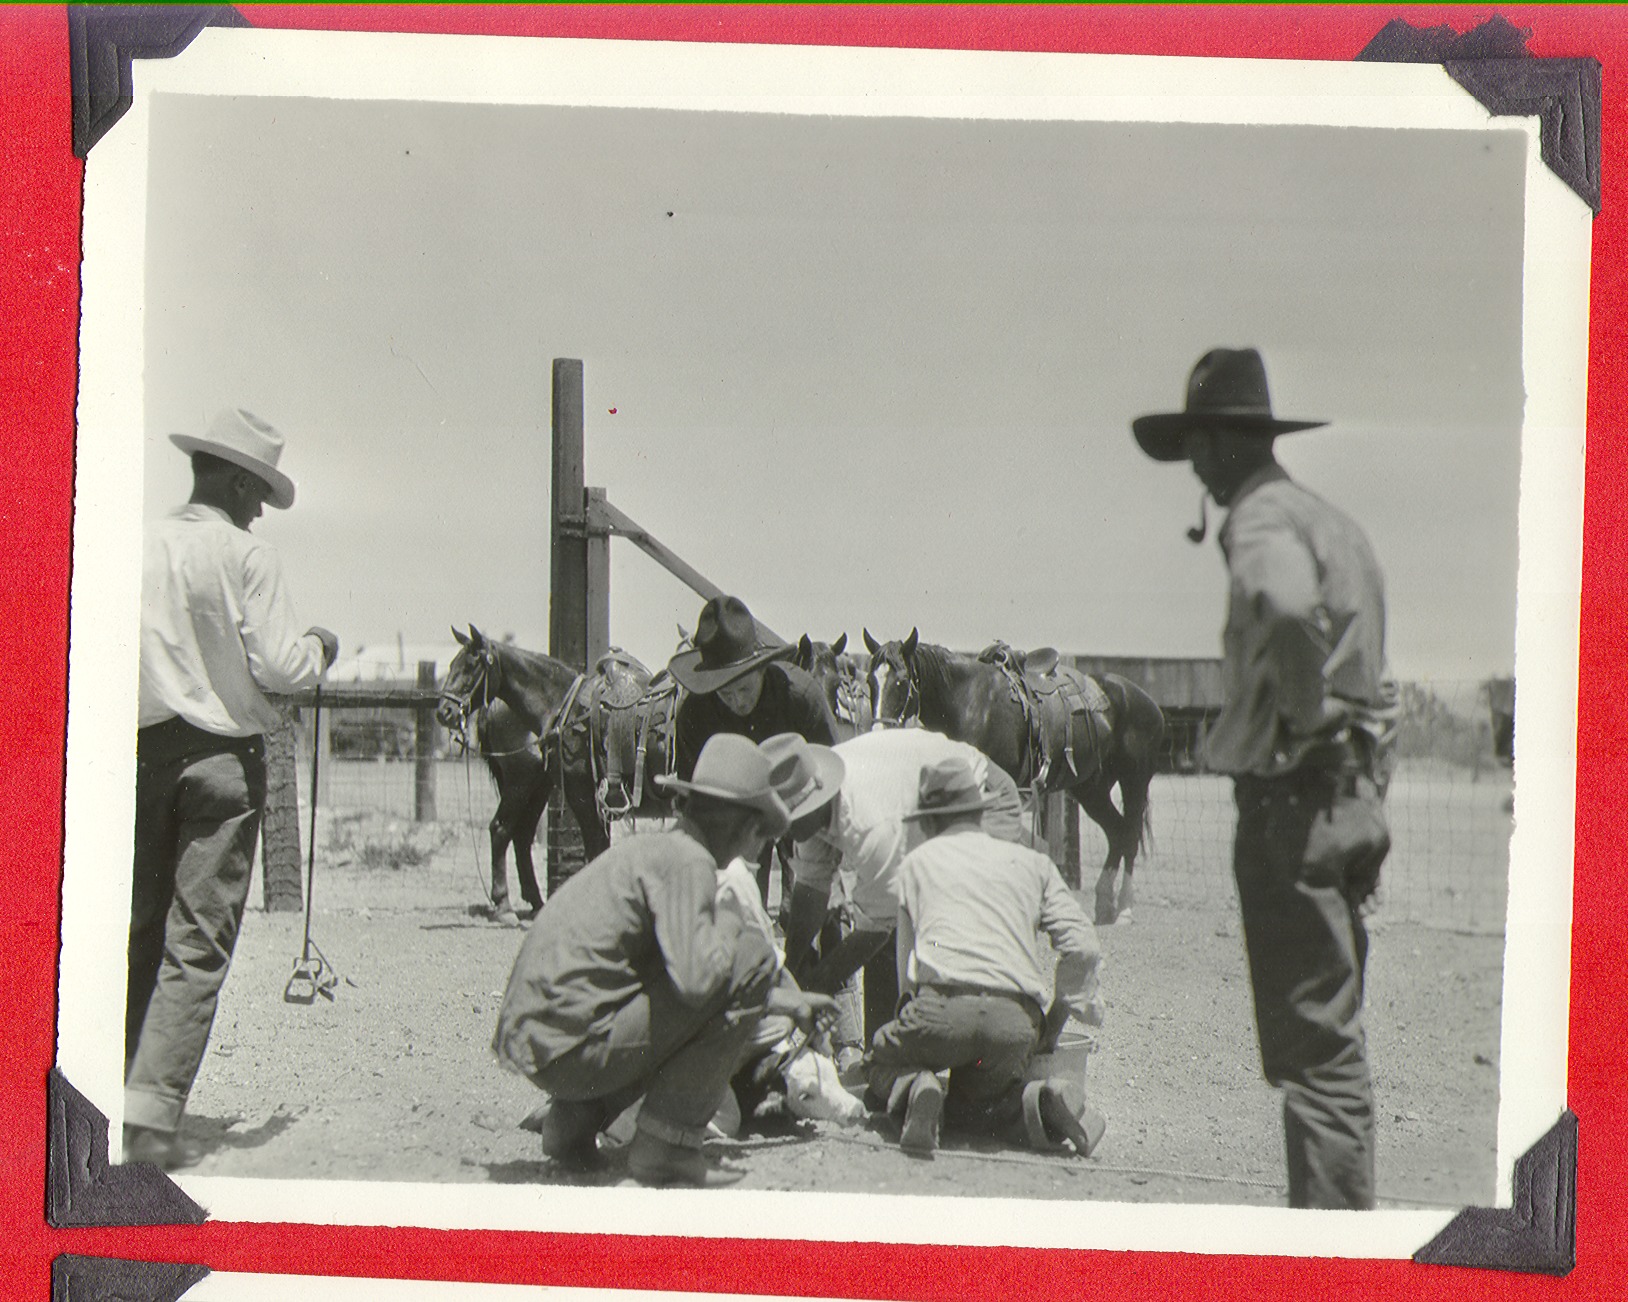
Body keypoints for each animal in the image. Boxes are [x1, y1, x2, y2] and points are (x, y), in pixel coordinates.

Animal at [859, 628, 1165, 917]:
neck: (966, 704)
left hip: (1134, 782)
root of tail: (1146, 700)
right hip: (1092, 789)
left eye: (901, 681)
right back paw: (1104, 904)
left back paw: (1124, 908)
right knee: (1116, 832)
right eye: (870, 682)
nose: (878, 733)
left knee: (1129, 834)